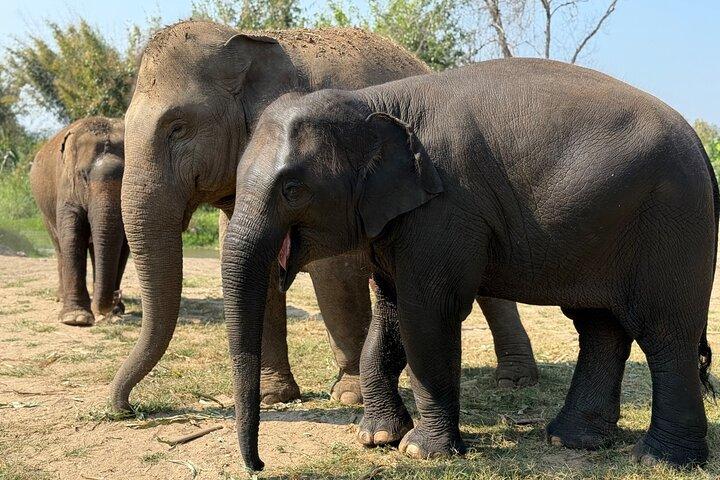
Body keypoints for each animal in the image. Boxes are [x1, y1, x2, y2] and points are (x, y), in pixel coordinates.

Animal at [30, 116, 128, 326]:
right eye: (83, 175)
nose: (117, 295)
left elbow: (124, 245)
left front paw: (115, 312)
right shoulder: (66, 187)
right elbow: (72, 236)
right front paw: (76, 318)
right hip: (44, 212)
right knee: (59, 247)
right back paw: (61, 297)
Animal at [114, 21, 538, 411]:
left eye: (177, 127)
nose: (128, 408)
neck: (257, 40)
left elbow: (336, 272)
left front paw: (350, 396)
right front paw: (273, 397)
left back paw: (515, 381)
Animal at [222, 58, 717, 470]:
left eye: (292, 189)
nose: (258, 464)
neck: (376, 101)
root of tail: (700, 143)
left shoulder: (446, 211)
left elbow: (427, 316)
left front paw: (421, 451)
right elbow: (391, 316)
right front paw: (377, 437)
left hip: (673, 222)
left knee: (665, 333)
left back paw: (658, 459)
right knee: (600, 326)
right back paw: (572, 440)